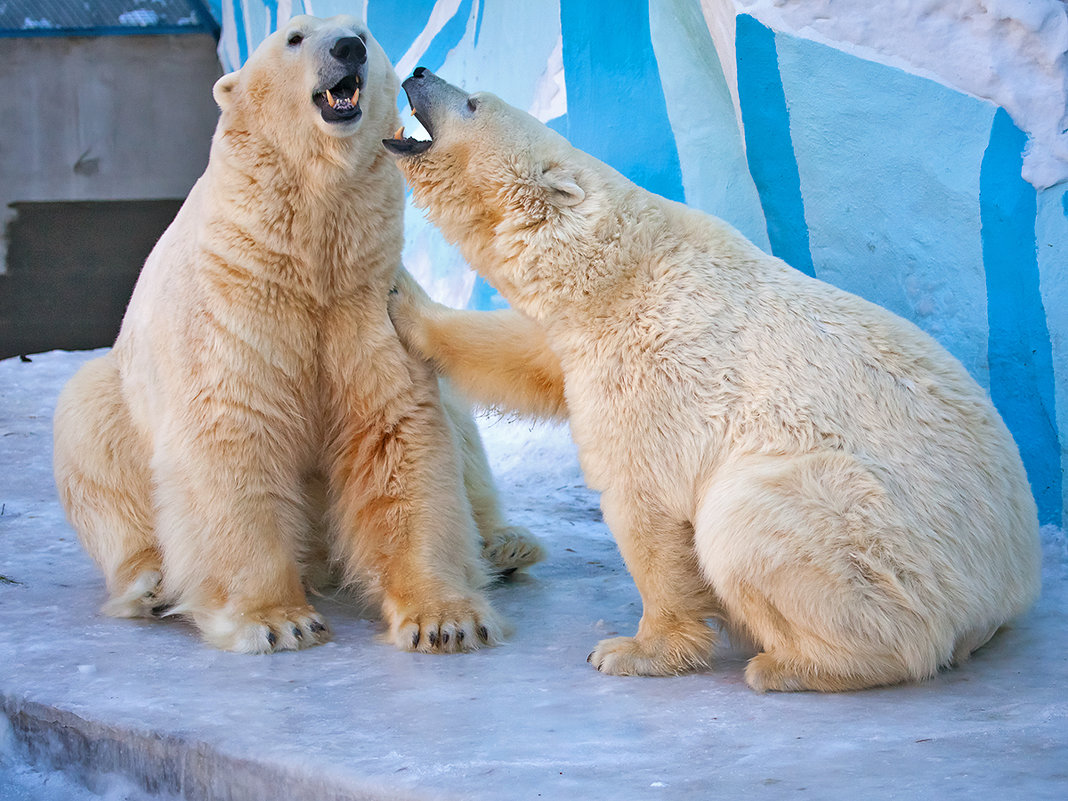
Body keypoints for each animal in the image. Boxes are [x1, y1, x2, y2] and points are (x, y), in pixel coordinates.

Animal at [54, 18, 546, 653]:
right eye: (293, 37)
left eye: (363, 31)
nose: (347, 48)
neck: (306, 257)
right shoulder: (236, 311)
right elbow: (232, 434)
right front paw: (276, 620)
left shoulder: (367, 304)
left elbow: (396, 432)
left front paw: (446, 619)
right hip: (113, 398)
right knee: (91, 436)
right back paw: (153, 582)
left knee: (464, 434)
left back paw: (505, 545)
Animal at [386, 72, 1042, 692]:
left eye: (473, 102)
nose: (417, 70)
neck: (619, 267)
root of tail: (1009, 584)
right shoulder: (580, 337)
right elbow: (524, 357)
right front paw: (400, 296)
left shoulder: (653, 363)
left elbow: (647, 500)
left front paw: (636, 650)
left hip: (887, 542)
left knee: (752, 520)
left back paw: (794, 665)